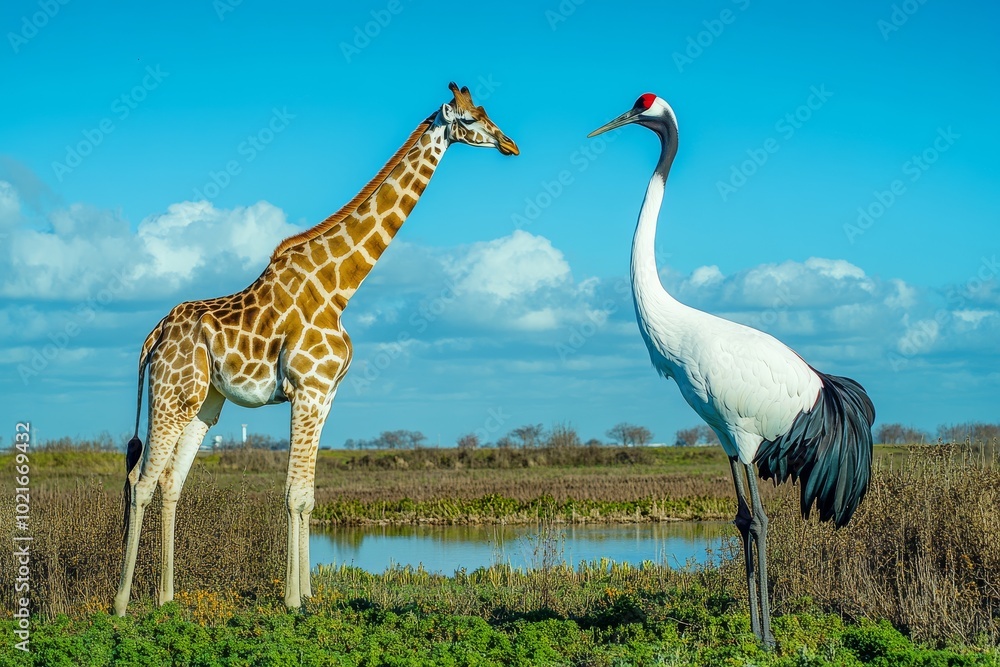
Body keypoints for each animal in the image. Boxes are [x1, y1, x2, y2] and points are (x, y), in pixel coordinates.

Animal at [113, 83, 519, 616]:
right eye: (470, 120)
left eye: (487, 111)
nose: (511, 145)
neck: (338, 288)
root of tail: (152, 338)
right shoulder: (307, 388)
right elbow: (291, 494)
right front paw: (291, 601)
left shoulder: (326, 394)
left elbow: (307, 495)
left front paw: (307, 594)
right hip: (170, 396)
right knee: (140, 483)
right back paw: (122, 605)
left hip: (204, 404)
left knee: (170, 484)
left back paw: (167, 599)